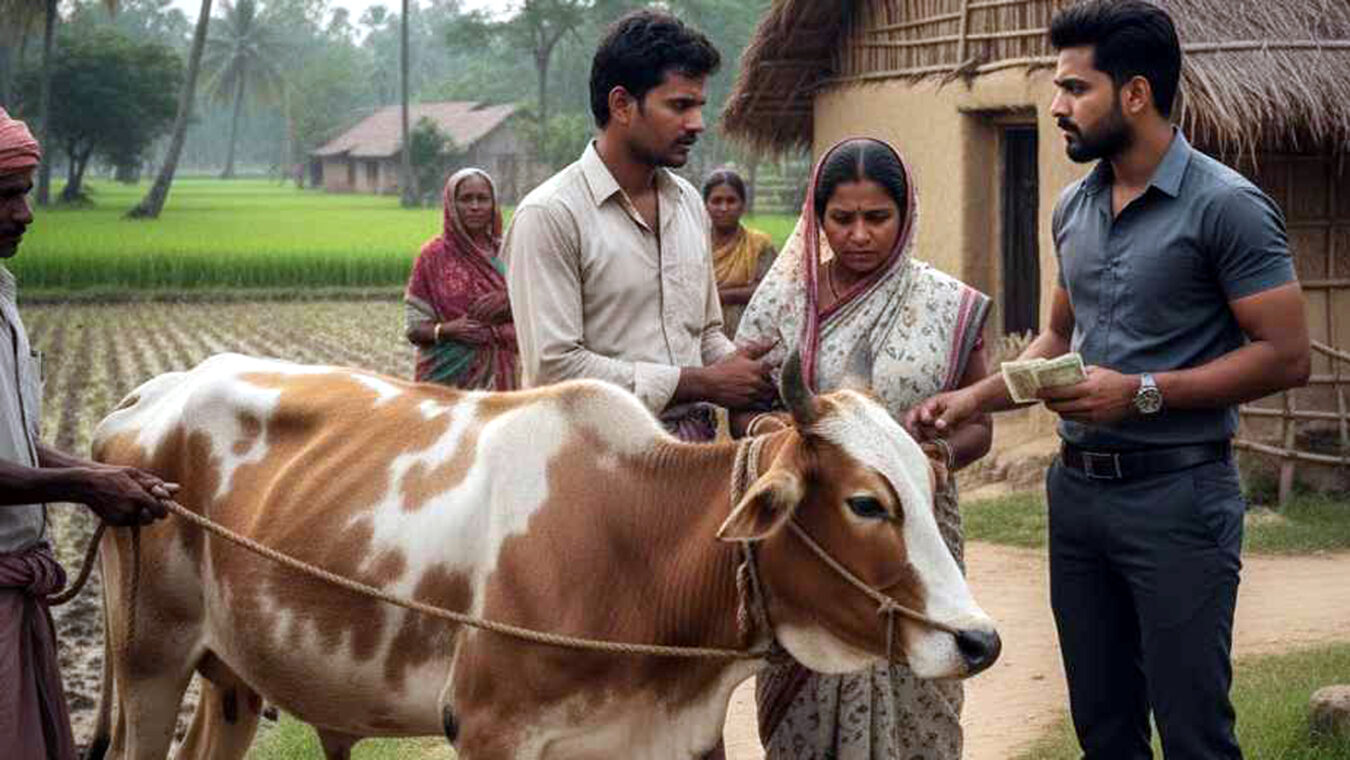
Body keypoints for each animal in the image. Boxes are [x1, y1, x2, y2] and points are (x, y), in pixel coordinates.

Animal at [84, 350, 1000, 759]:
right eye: (866, 503)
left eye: (927, 482)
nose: (979, 640)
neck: (638, 546)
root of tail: (144, 397)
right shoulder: (492, 731)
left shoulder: (679, 740)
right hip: (148, 663)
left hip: (230, 675)